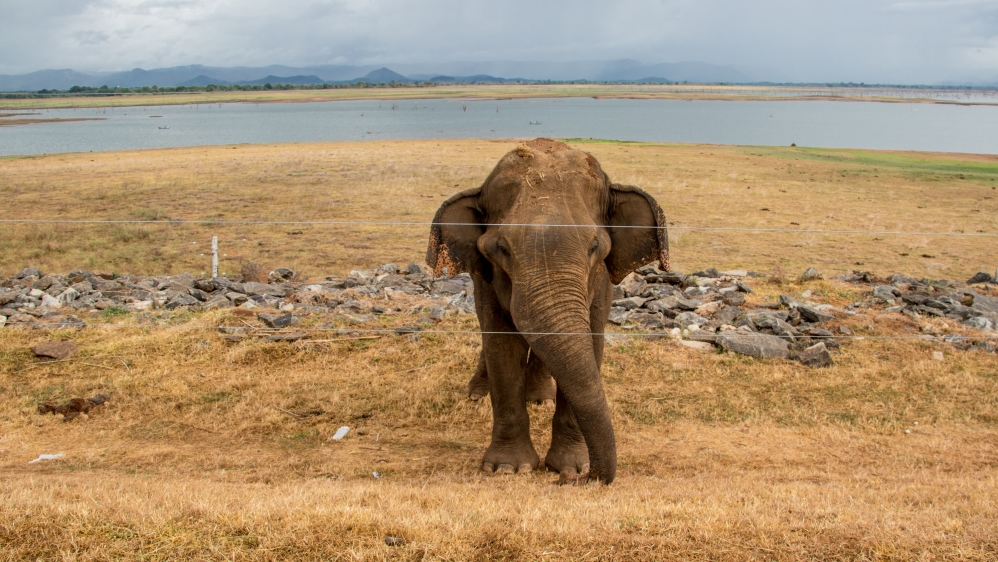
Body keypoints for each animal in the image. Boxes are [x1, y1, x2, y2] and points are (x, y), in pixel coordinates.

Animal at [426, 138, 669, 484]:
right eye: (502, 249)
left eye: (595, 247)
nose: (578, 481)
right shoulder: (487, 279)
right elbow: (502, 346)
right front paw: (509, 468)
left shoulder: (602, 284)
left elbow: (593, 343)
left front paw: (571, 466)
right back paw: (476, 394)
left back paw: (540, 397)